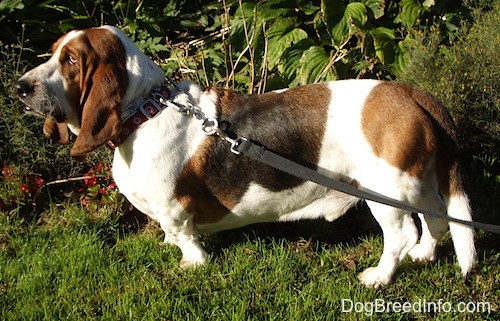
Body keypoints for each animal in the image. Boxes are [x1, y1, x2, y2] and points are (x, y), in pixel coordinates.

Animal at [15, 24, 476, 284]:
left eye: (71, 59)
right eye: (53, 52)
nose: (20, 87)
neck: (144, 111)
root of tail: (412, 93)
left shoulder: (176, 209)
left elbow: (185, 238)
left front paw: (191, 264)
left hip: (386, 192)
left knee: (401, 235)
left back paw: (379, 277)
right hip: (415, 183)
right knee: (437, 219)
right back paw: (423, 256)